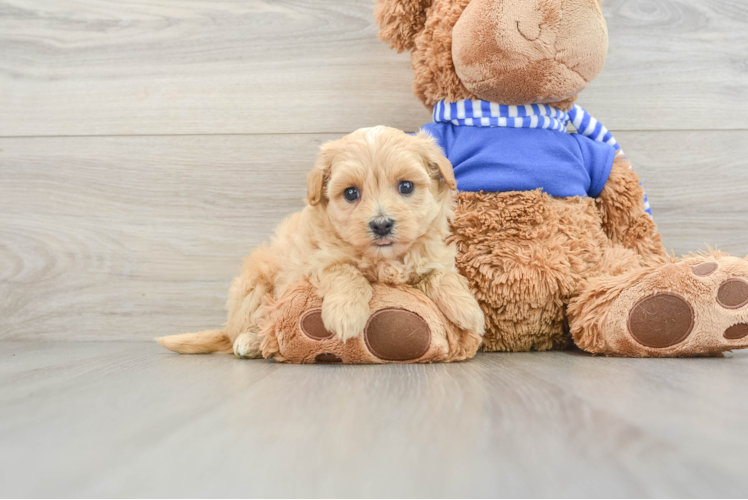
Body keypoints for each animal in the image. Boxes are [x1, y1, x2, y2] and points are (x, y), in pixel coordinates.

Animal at [158, 127, 486, 358]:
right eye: (351, 193)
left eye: (406, 186)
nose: (381, 224)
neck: (384, 260)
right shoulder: (317, 260)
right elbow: (345, 272)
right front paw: (346, 314)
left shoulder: (432, 254)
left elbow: (443, 275)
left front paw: (468, 310)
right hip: (254, 285)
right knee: (259, 322)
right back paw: (250, 341)